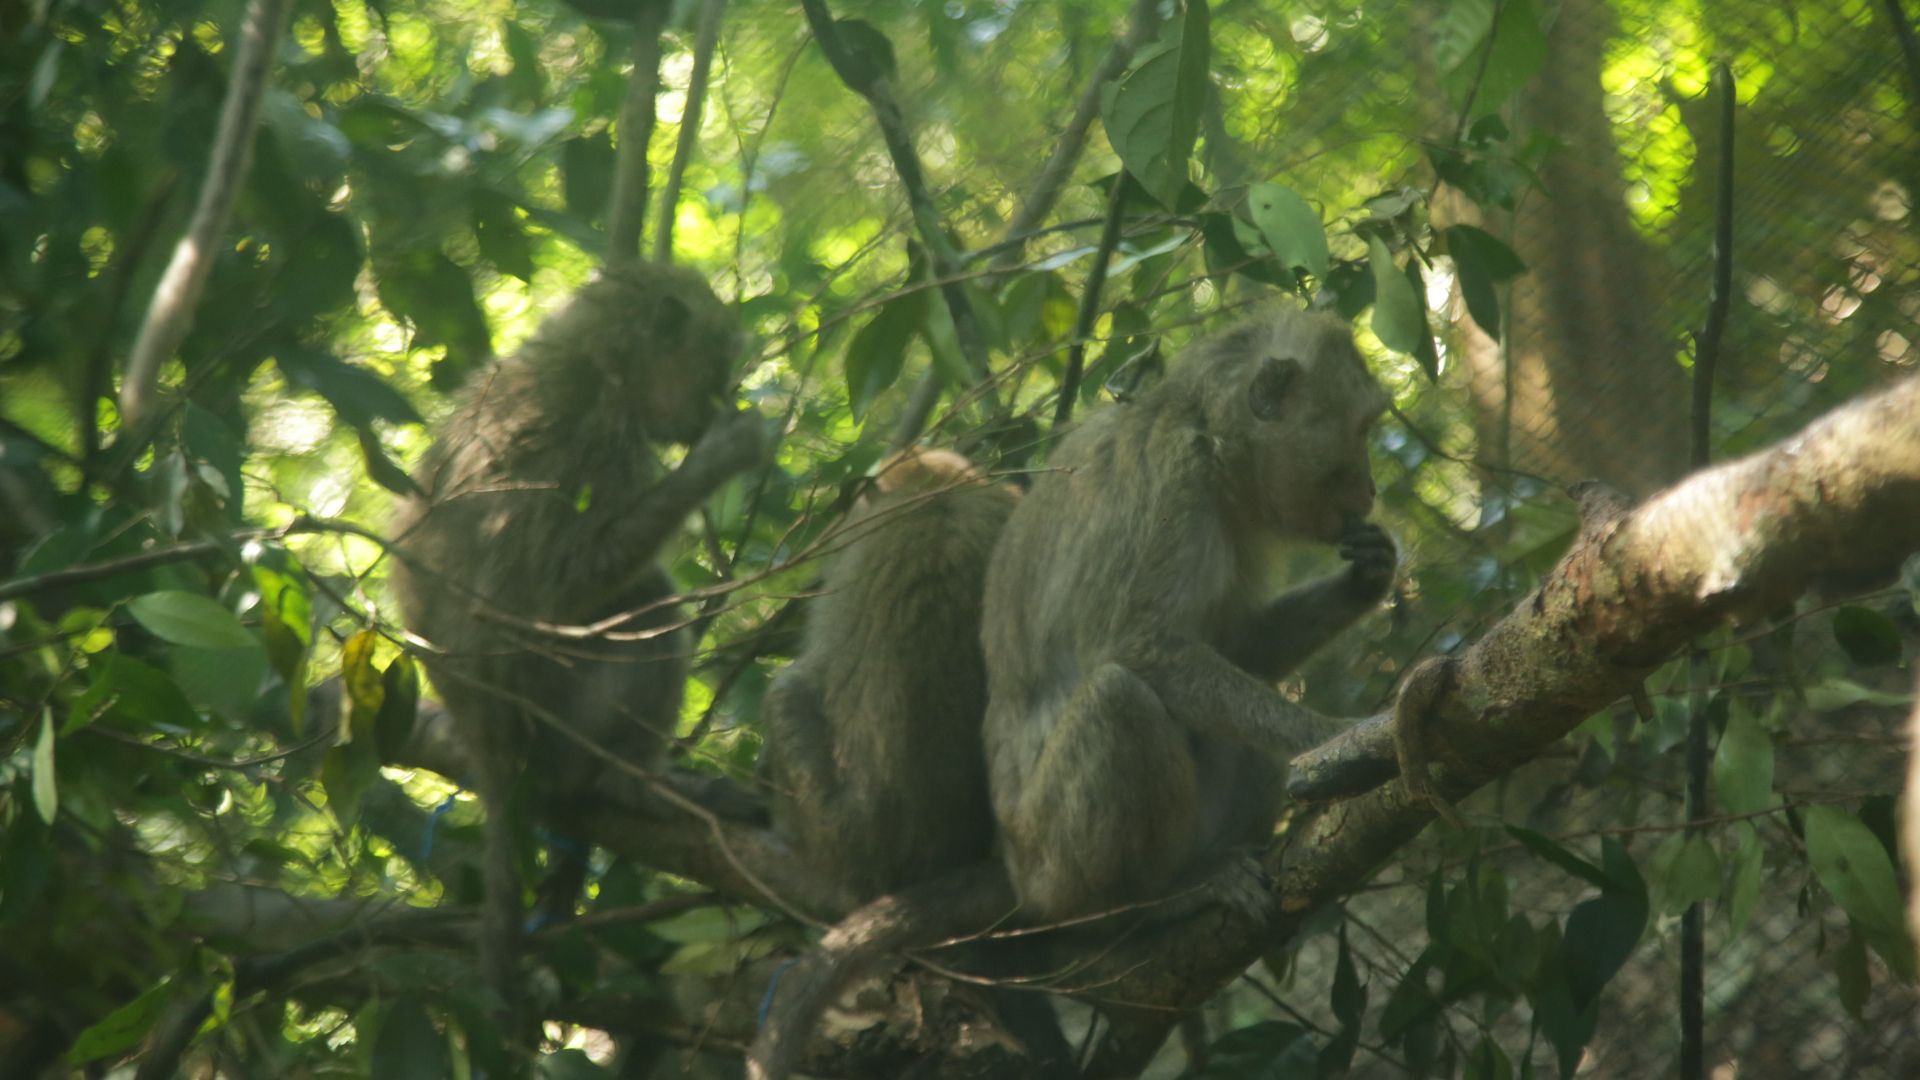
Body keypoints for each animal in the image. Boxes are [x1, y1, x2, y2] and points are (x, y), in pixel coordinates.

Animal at [385, 255, 768, 1037]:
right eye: (715, 366)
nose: (720, 400)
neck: (598, 358)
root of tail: (487, 731)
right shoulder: (595, 438)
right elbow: (564, 586)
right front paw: (723, 455)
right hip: (558, 721)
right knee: (645, 598)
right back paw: (633, 782)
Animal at [983, 299, 1405, 914]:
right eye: (1363, 430)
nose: (1372, 488)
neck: (1208, 435)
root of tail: (1022, 887)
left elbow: (1236, 647)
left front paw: (1367, 576)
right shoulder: (1169, 482)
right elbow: (1137, 644)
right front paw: (1333, 741)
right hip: (1052, 865)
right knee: (1119, 697)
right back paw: (1158, 893)